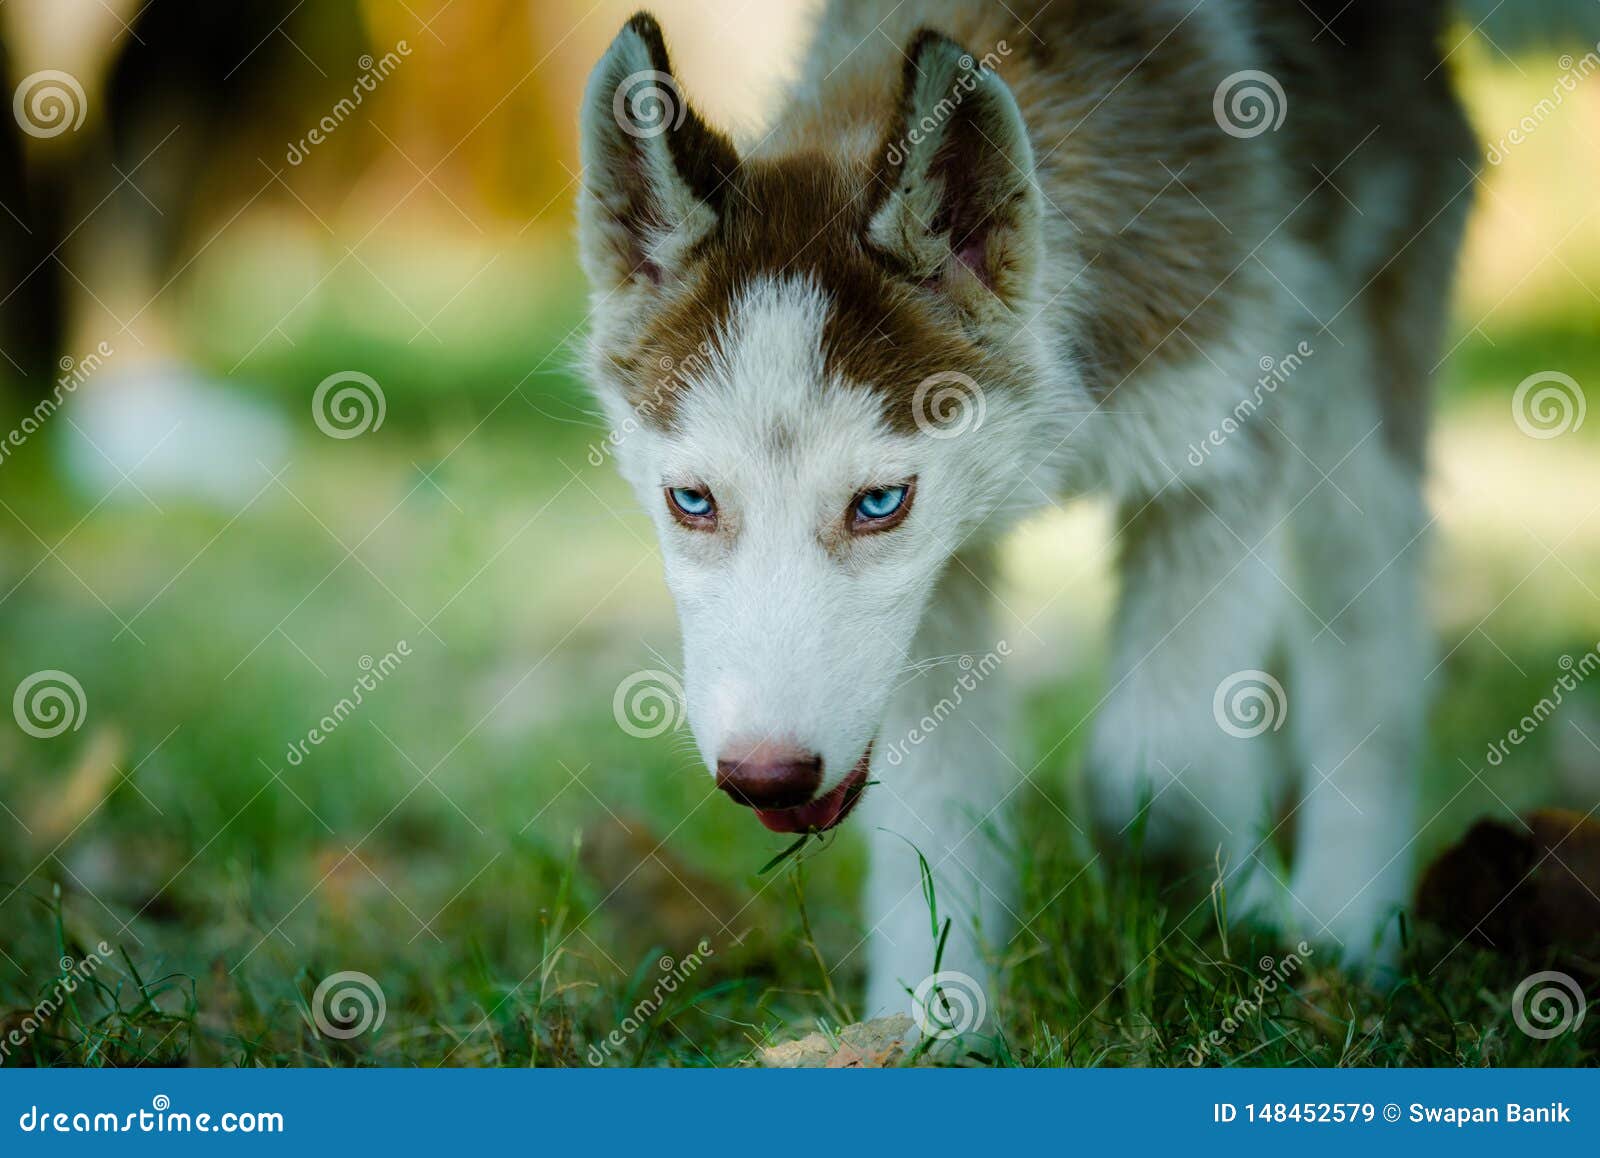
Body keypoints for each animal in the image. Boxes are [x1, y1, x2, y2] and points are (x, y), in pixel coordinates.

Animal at [579, 4, 1600, 1023]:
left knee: (1368, 649)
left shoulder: (1222, 448)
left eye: (877, 502)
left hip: (1355, 370)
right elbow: (940, 805)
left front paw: (1242, 912)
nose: (765, 777)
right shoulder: (939, 576)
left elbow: (1153, 773)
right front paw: (931, 1019)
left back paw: (1350, 930)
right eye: (692, 500)